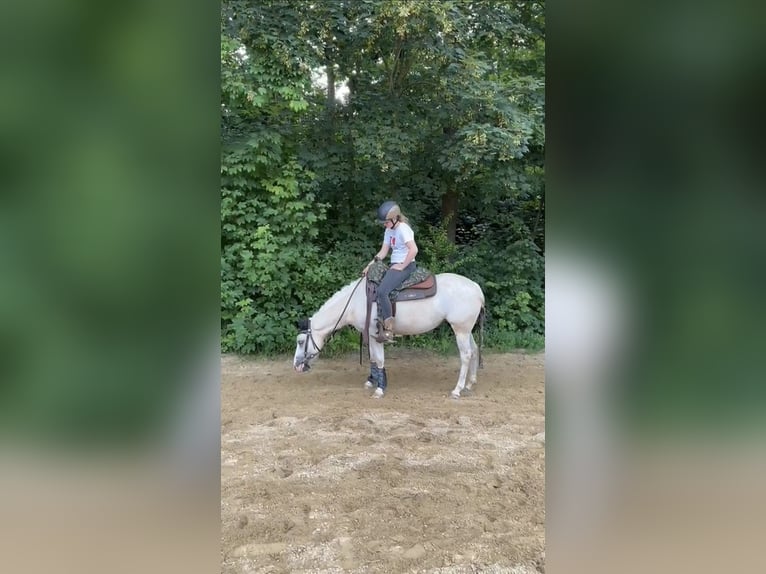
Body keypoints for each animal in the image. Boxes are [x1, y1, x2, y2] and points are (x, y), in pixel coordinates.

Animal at [294, 274, 486, 400]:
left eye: (301, 341)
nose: (296, 366)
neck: (356, 302)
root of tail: (476, 288)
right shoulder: (368, 335)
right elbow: (373, 358)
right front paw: (371, 381)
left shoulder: (375, 334)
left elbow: (379, 359)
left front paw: (380, 389)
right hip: (466, 330)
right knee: (474, 350)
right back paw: (470, 383)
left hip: (460, 330)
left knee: (466, 355)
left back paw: (457, 390)